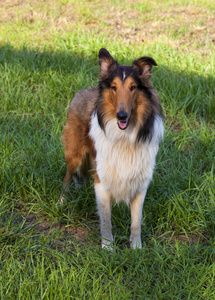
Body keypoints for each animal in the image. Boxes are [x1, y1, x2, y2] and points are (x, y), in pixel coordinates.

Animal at [60, 48, 163, 250]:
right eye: (114, 87)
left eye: (133, 87)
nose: (121, 115)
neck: (124, 136)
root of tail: (82, 91)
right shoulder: (102, 180)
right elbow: (106, 219)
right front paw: (108, 248)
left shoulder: (140, 181)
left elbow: (136, 220)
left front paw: (136, 248)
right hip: (74, 154)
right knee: (67, 177)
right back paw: (61, 203)